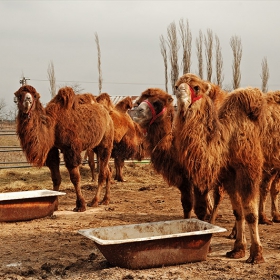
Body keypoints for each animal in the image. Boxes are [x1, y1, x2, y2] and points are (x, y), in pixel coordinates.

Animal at [129, 87, 212, 221]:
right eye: (139, 102)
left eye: (157, 103)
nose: (137, 112)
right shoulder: (181, 177)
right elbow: (186, 204)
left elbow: (200, 208)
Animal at [174, 73, 268, 264]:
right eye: (177, 85)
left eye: (196, 87)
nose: (179, 90)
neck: (228, 138)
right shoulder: (230, 175)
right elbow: (238, 212)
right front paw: (238, 250)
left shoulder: (249, 171)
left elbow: (250, 214)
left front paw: (256, 255)